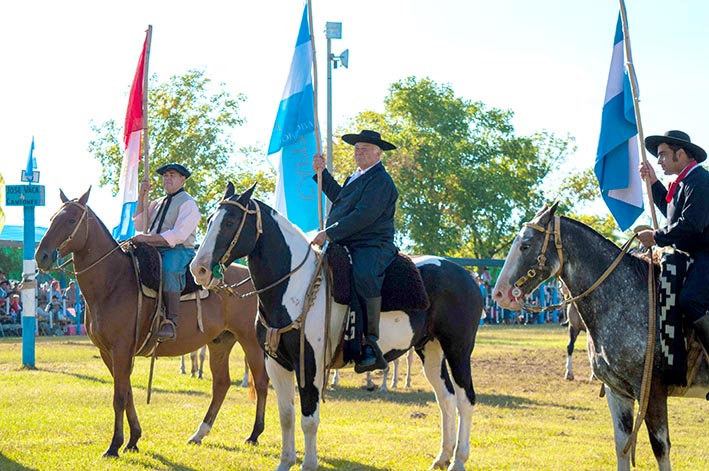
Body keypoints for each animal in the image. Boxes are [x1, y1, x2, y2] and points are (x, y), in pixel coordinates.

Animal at [32, 190, 268, 460]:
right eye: (52, 218)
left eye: (71, 220)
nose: (42, 256)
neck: (113, 282)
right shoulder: (108, 352)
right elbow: (127, 393)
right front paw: (133, 439)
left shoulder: (121, 349)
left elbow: (119, 396)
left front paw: (114, 446)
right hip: (220, 341)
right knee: (221, 384)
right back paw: (199, 434)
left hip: (250, 340)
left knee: (261, 381)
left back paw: (254, 434)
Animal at [191, 183, 484, 471]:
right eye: (210, 219)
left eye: (230, 221)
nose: (199, 270)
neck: (295, 286)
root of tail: (467, 276)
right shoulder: (276, 362)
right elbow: (286, 415)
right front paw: (285, 462)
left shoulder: (309, 364)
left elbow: (309, 418)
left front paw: (308, 464)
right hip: (430, 350)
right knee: (446, 398)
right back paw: (443, 457)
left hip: (458, 350)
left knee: (465, 400)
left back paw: (458, 460)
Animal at [492, 204, 708, 471]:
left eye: (525, 245)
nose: (499, 294)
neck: (625, 299)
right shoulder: (617, 391)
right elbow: (622, 445)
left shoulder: (652, 390)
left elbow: (660, 448)